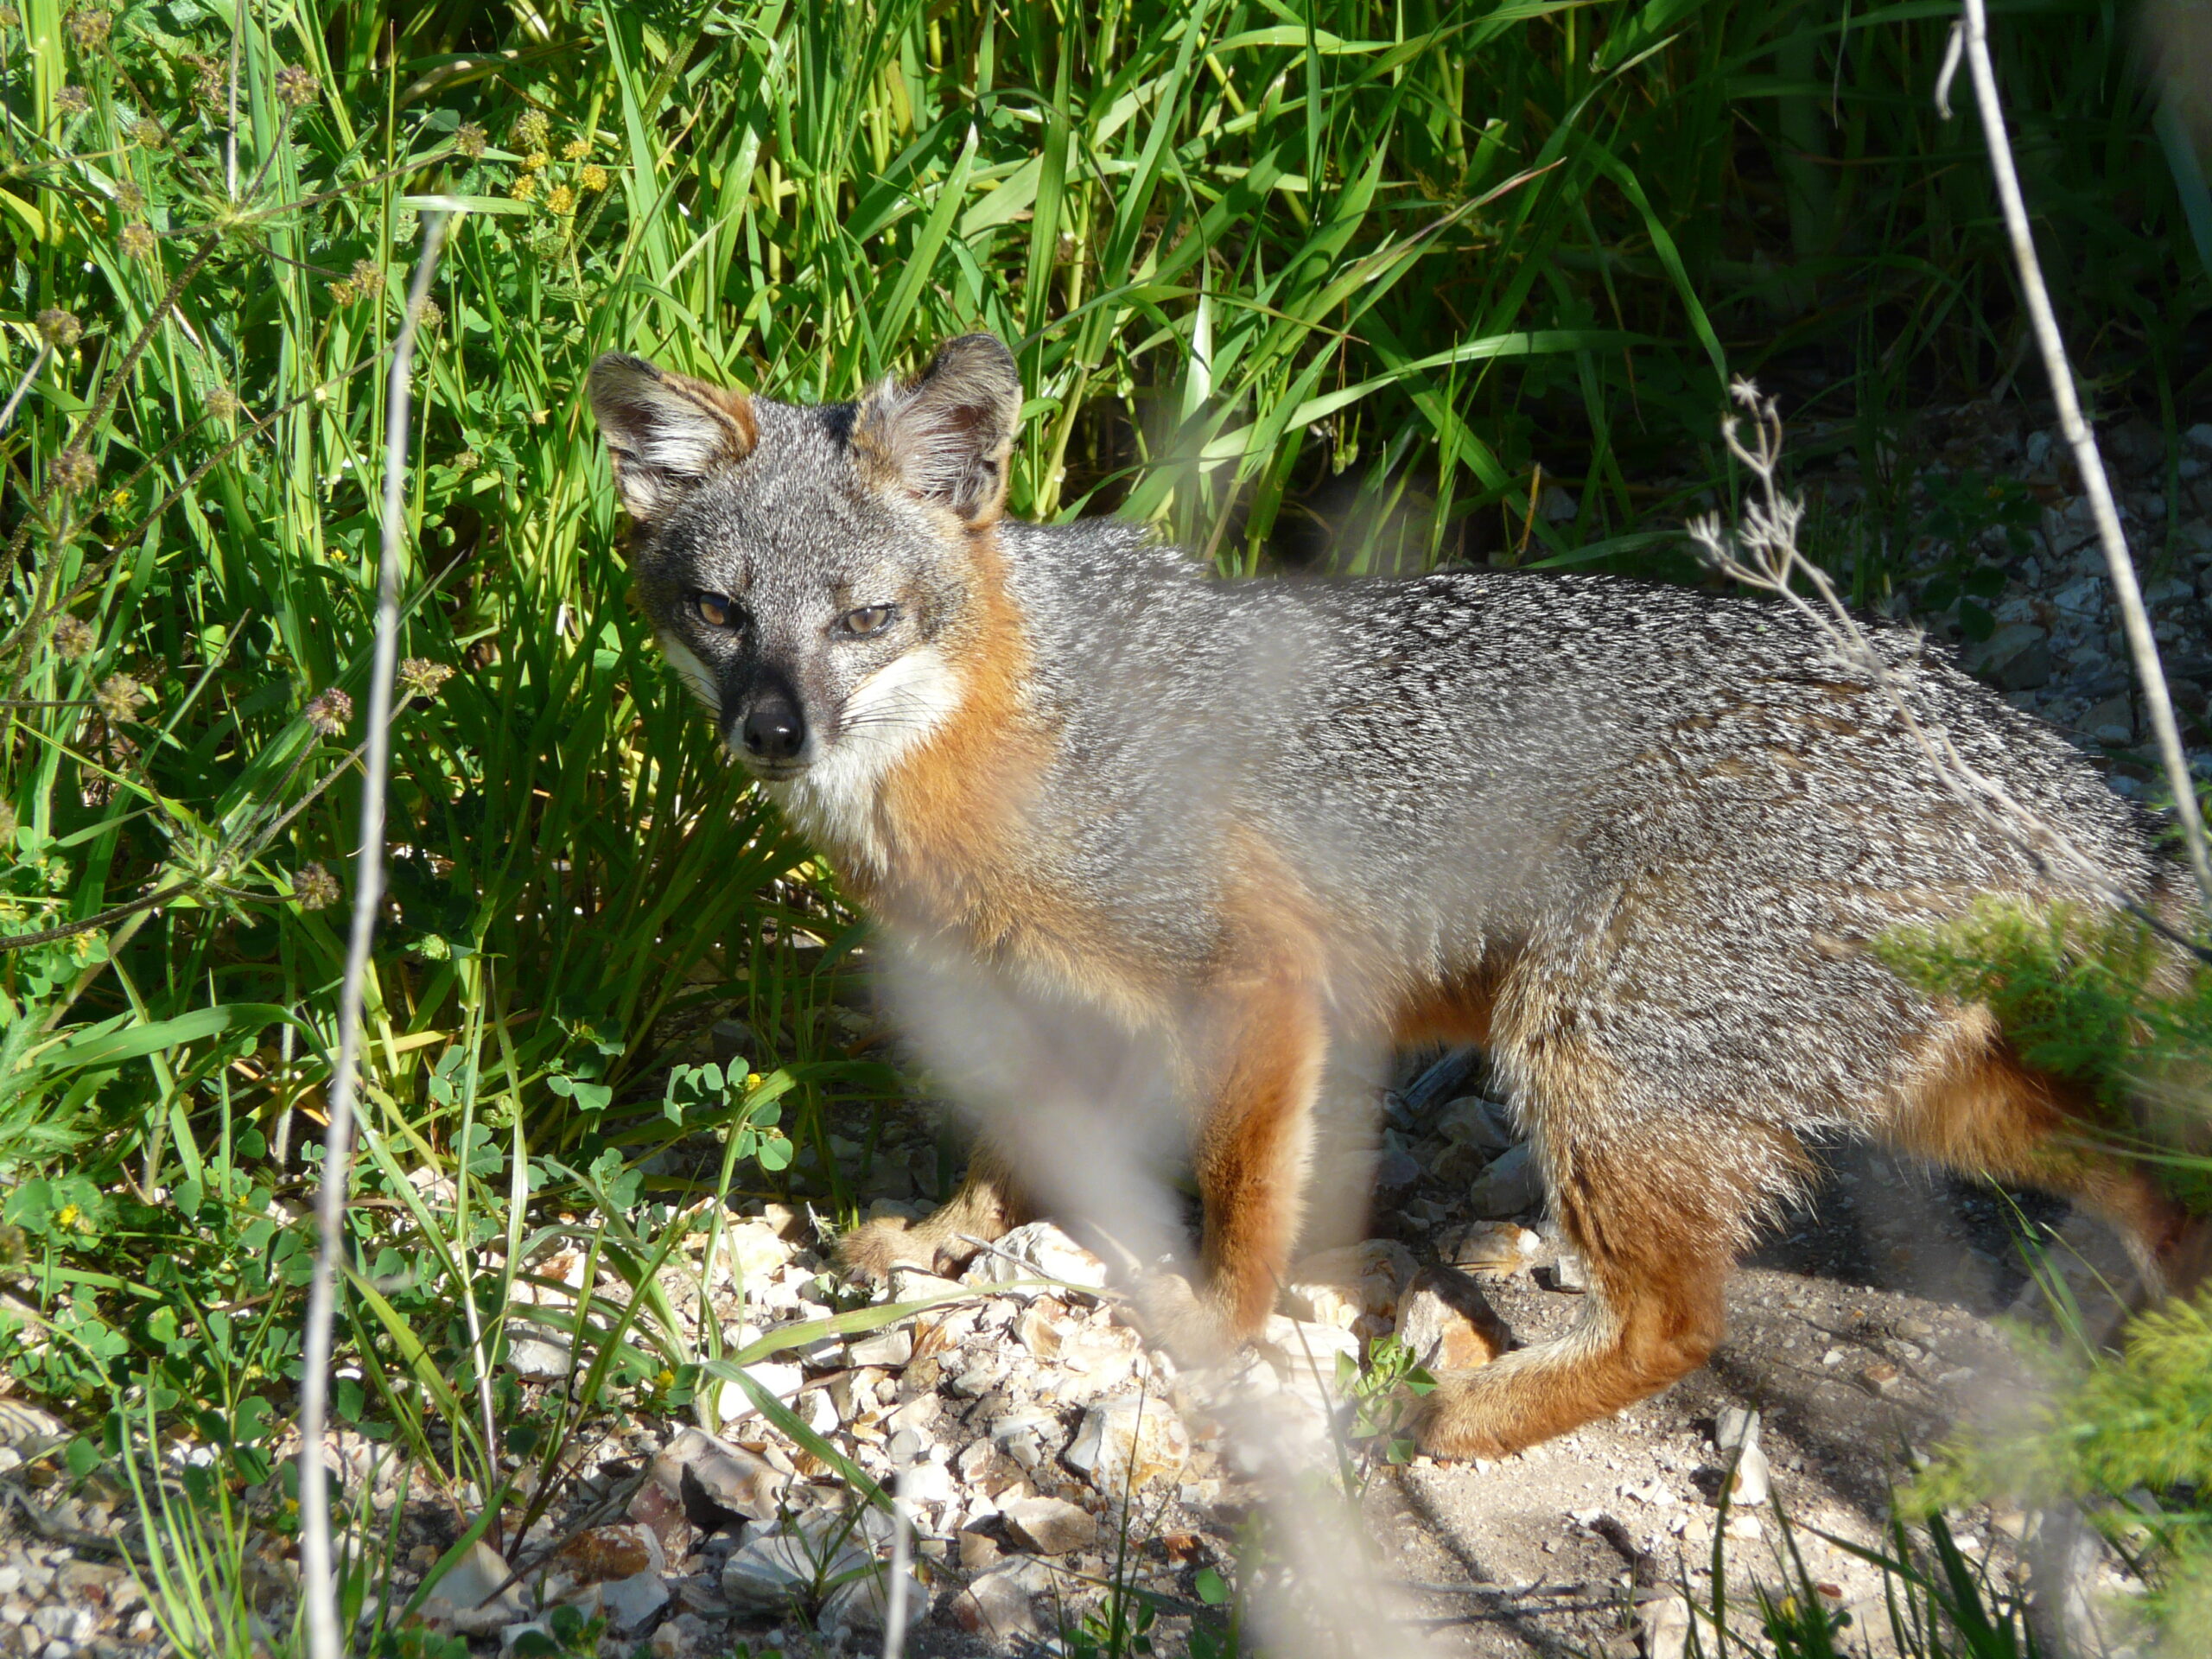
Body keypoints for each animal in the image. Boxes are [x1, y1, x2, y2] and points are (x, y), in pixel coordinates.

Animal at [587, 332, 2209, 1457]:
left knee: (1687, 1322)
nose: (774, 729)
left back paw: (1468, 1420)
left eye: (865, 620)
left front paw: (1214, 1327)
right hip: (1923, 1091)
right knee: (2154, 1185)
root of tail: (2018, 762)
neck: (1008, 722)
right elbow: (1016, 1140)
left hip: (1586, 1049)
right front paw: (941, 1237)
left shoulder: (1256, 979)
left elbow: (1245, 1197)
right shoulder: (1056, 992)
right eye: (719, 612)